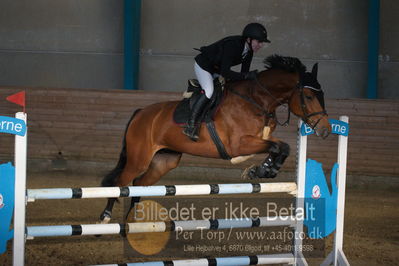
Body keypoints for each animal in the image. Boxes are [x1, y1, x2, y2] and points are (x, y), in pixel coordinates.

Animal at [99, 54, 332, 222]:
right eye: (309, 96)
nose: (326, 130)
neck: (256, 100)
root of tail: (140, 113)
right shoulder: (238, 144)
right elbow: (277, 147)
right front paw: (263, 169)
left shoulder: (260, 138)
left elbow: (281, 146)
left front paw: (262, 170)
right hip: (139, 158)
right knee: (121, 183)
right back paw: (106, 217)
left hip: (164, 161)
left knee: (138, 184)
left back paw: (134, 221)